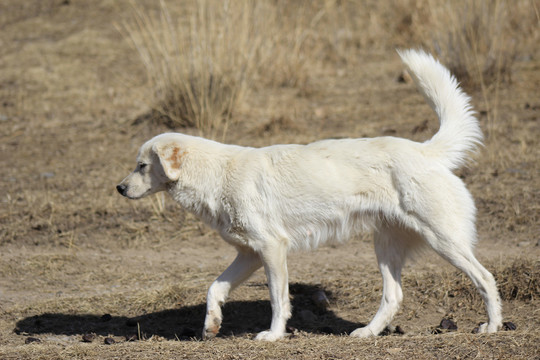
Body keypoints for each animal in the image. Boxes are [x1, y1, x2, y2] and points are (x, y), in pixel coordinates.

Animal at [117, 50, 502, 340]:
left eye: (141, 166)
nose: (119, 188)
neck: (217, 174)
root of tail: (426, 152)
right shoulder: (249, 254)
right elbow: (215, 289)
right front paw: (211, 326)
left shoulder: (272, 249)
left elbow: (278, 300)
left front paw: (272, 336)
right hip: (385, 246)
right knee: (394, 297)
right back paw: (366, 333)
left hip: (444, 241)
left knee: (485, 278)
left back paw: (493, 326)